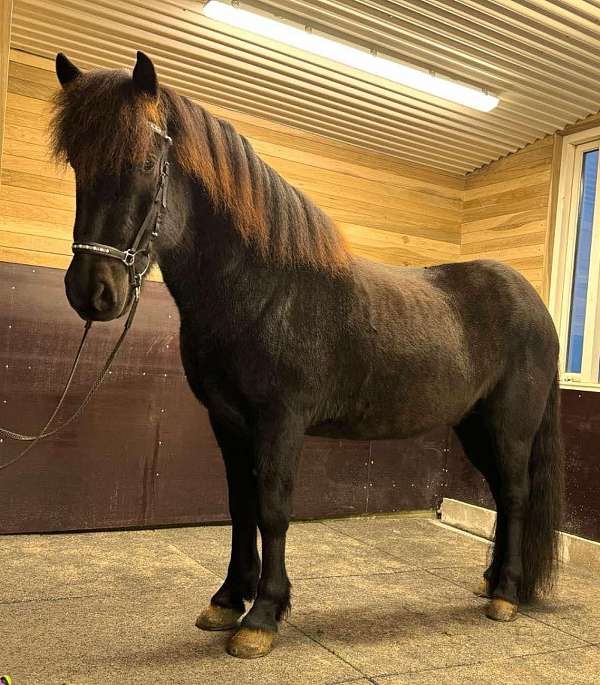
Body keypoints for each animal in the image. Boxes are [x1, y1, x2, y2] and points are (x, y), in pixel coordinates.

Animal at [51, 52, 564, 656]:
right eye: (77, 165)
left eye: (145, 163)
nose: (92, 291)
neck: (264, 290)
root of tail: (535, 305)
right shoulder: (228, 421)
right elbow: (240, 506)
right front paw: (227, 600)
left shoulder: (281, 421)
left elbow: (273, 508)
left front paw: (261, 617)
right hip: (473, 427)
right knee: (503, 497)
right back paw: (493, 581)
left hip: (510, 429)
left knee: (516, 495)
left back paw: (505, 595)